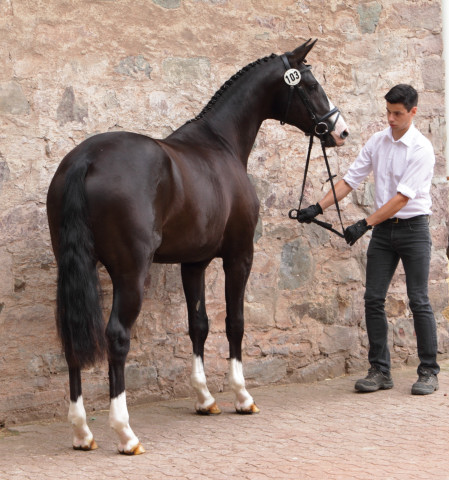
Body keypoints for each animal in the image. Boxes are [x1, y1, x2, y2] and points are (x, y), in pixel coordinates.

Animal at [46, 38, 346, 454]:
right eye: (313, 84)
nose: (340, 131)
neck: (220, 144)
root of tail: (86, 159)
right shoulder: (239, 257)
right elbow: (234, 322)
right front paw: (242, 396)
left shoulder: (194, 262)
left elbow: (198, 325)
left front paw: (205, 399)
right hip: (131, 274)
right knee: (117, 337)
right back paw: (125, 433)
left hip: (72, 269)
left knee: (73, 337)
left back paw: (81, 432)